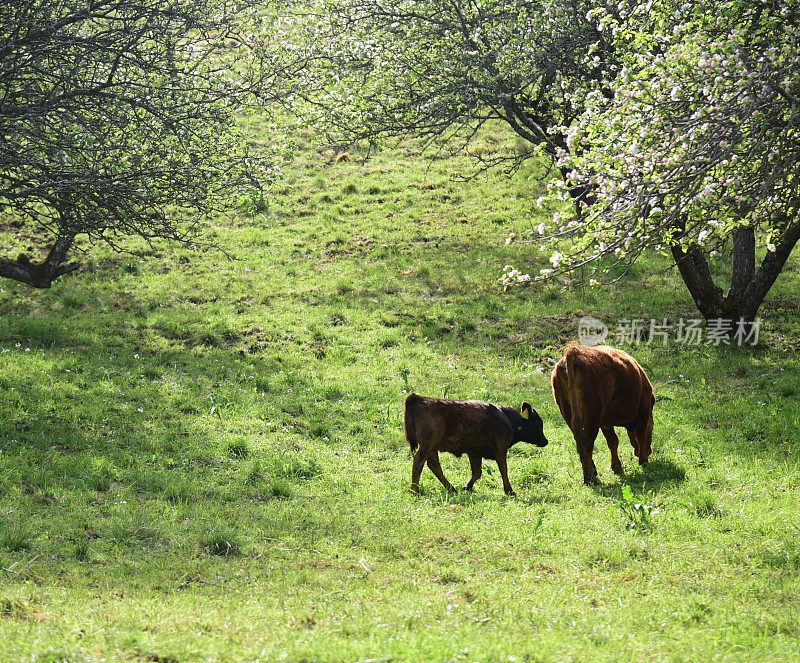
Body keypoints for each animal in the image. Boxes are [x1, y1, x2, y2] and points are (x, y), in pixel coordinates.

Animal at [404, 392, 548, 496]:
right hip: (427, 445)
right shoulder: (500, 450)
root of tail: (419, 398)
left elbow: (477, 472)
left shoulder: (474, 452)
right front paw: (510, 491)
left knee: (434, 466)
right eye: (538, 423)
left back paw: (451, 489)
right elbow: (503, 469)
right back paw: (414, 491)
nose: (545, 441)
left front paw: (467, 486)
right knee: (418, 462)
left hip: (432, 448)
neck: (506, 419)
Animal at [552, 344, 656, 486]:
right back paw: (590, 478)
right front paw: (643, 463)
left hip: (568, 412)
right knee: (587, 442)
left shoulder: (605, 422)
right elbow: (640, 436)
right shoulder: (643, 413)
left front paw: (617, 467)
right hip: (592, 415)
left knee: (580, 442)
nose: (649, 451)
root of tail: (574, 350)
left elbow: (613, 441)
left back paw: (592, 472)